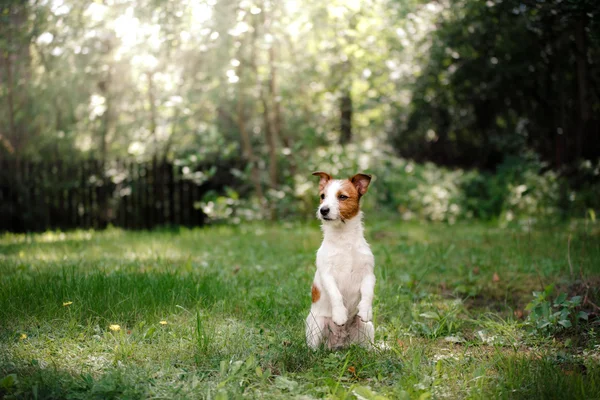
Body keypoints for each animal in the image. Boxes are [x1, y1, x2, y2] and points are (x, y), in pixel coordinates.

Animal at [304, 172, 376, 350]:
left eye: (342, 196)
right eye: (322, 196)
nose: (323, 210)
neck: (344, 239)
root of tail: (339, 342)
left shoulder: (368, 274)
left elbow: (368, 292)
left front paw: (365, 310)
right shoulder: (327, 274)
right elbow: (335, 294)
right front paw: (340, 315)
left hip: (367, 327)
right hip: (316, 324)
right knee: (312, 349)